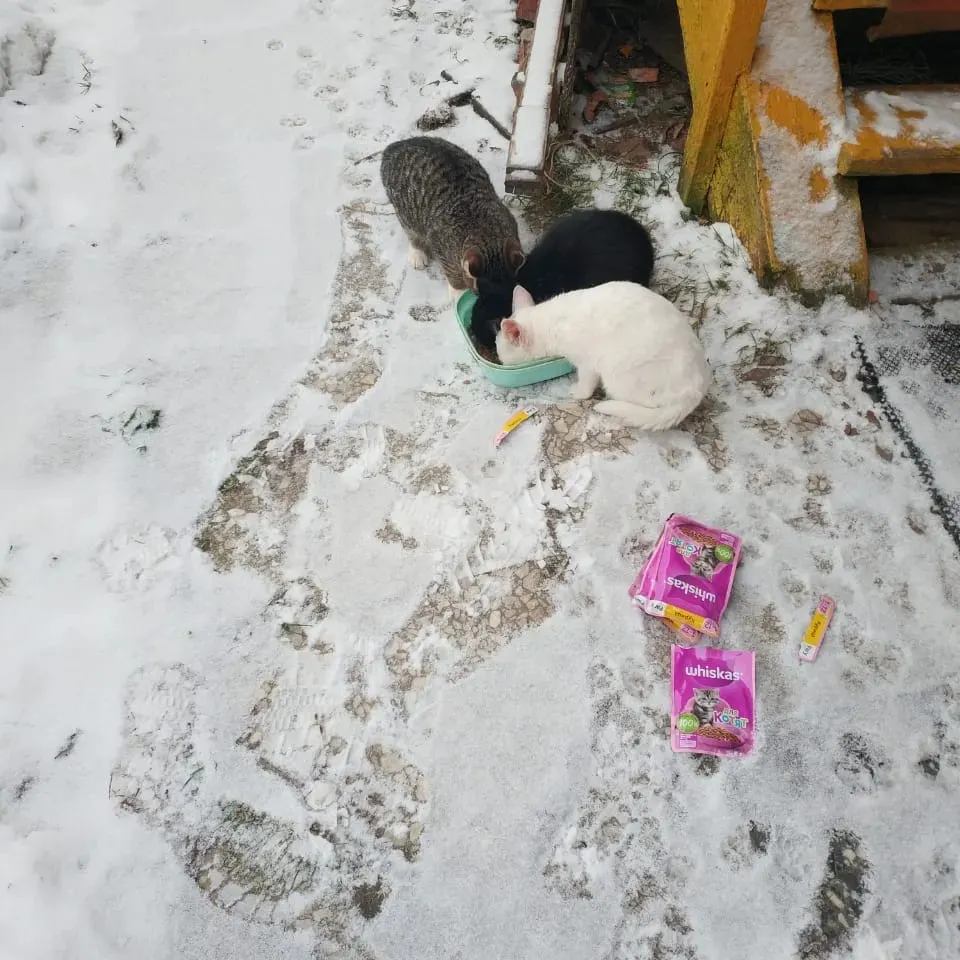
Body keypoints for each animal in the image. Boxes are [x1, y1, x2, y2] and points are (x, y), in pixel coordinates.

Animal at [378, 135, 520, 298]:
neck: (487, 229)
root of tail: (395, 146)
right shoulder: (441, 245)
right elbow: (452, 273)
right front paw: (458, 291)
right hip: (405, 210)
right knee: (411, 232)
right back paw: (417, 252)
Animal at [498, 282, 708, 432]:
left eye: (503, 359)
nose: (500, 362)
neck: (546, 323)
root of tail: (695, 390)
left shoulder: (587, 363)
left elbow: (586, 387)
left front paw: (577, 392)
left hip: (620, 376)